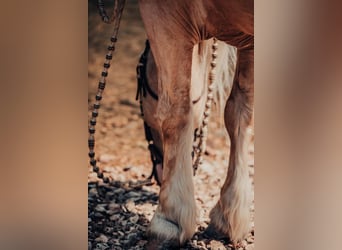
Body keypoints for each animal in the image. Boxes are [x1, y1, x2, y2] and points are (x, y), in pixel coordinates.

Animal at [97, 0, 254, 247]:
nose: (160, 173)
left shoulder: (165, 20)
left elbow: (176, 112)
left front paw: (170, 219)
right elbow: (239, 110)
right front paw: (229, 214)